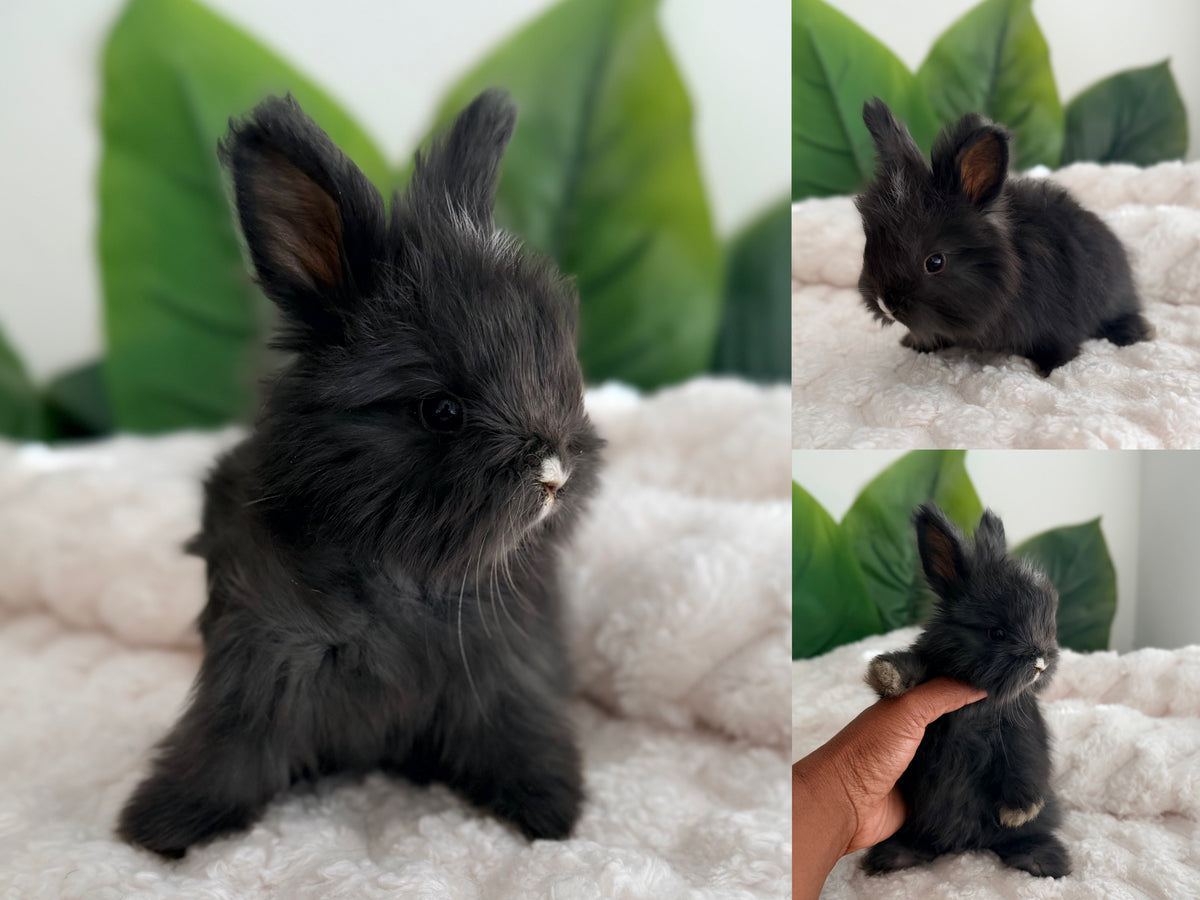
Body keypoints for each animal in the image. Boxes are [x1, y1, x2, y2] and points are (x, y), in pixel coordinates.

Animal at [117, 89, 604, 858]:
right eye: (441, 410)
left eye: (563, 372)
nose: (555, 475)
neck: (402, 575)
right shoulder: (259, 671)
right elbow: (228, 754)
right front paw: (163, 825)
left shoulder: (504, 672)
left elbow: (521, 736)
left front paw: (551, 813)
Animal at [855, 97, 1152, 376]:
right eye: (869, 247)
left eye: (935, 262)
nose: (885, 304)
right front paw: (915, 344)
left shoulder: (1058, 323)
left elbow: (1060, 346)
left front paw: (1050, 369)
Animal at [862, 504, 1071, 879]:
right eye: (997, 633)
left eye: (1049, 627)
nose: (1041, 663)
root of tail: (964, 845)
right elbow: (914, 665)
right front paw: (886, 674)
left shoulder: (1023, 728)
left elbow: (1028, 762)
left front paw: (1018, 811)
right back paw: (891, 857)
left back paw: (1043, 859)